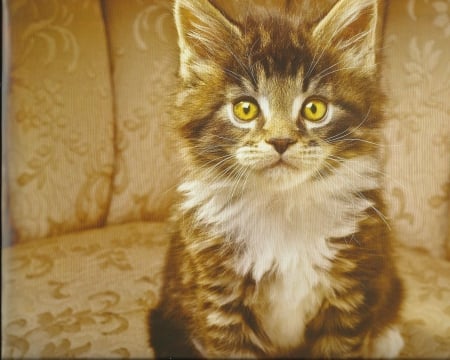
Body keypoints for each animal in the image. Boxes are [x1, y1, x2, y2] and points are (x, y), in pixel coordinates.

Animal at [149, 0, 404, 358]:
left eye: (314, 109)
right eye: (245, 109)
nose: (281, 141)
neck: (282, 206)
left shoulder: (351, 290)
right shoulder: (220, 300)